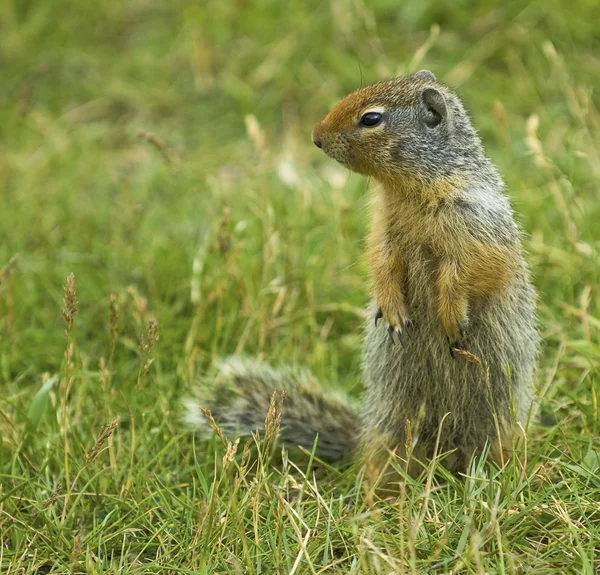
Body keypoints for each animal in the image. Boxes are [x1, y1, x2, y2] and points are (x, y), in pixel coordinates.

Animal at [184, 70, 540, 480]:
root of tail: (444, 451)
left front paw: (452, 318)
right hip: (393, 425)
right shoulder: (383, 230)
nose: (316, 137)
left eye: (371, 118)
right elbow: (381, 265)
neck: (409, 190)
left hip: (496, 422)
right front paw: (393, 313)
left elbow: (468, 271)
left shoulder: (477, 224)